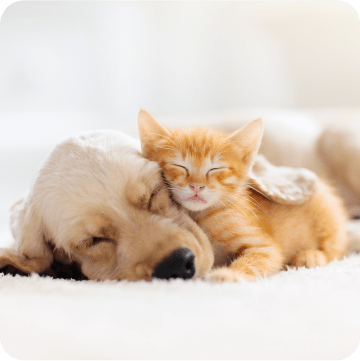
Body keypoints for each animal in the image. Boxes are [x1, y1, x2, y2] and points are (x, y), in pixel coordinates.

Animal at [138, 109, 348, 282]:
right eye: (180, 166)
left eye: (215, 169)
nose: (197, 186)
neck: (201, 216)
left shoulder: (263, 247)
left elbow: (257, 259)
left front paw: (228, 274)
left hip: (326, 213)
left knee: (336, 248)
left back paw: (312, 256)